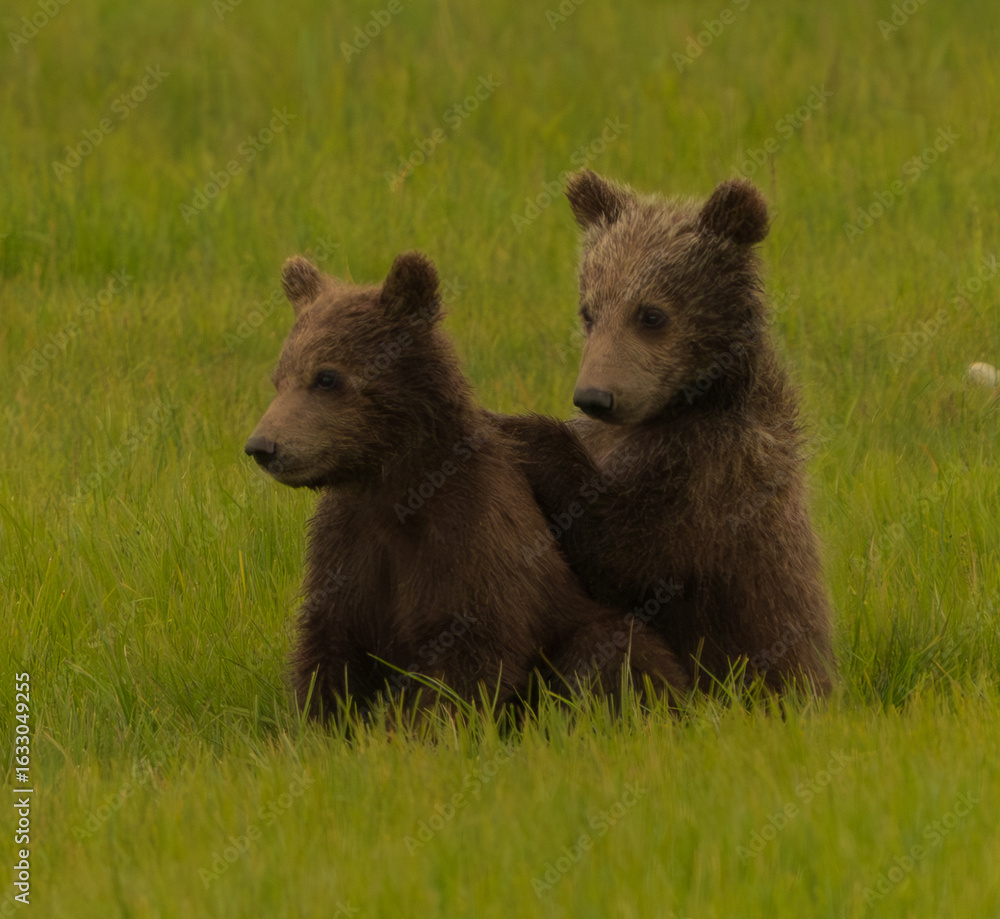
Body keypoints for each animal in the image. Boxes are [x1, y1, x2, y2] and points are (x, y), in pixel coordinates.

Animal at [244, 248, 690, 722]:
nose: (262, 446)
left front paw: (423, 724)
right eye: (279, 378)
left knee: (613, 650)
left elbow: (469, 650)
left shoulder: (468, 536)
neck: (392, 490)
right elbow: (331, 644)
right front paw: (320, 720)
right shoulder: (349, 545)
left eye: (327, 377)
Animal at [496, 170, 834, 695]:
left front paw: (522, 431)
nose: (595, 397)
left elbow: (628, 552)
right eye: (589, 311)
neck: (690, 402)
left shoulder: (714, 473)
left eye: (650, 314)